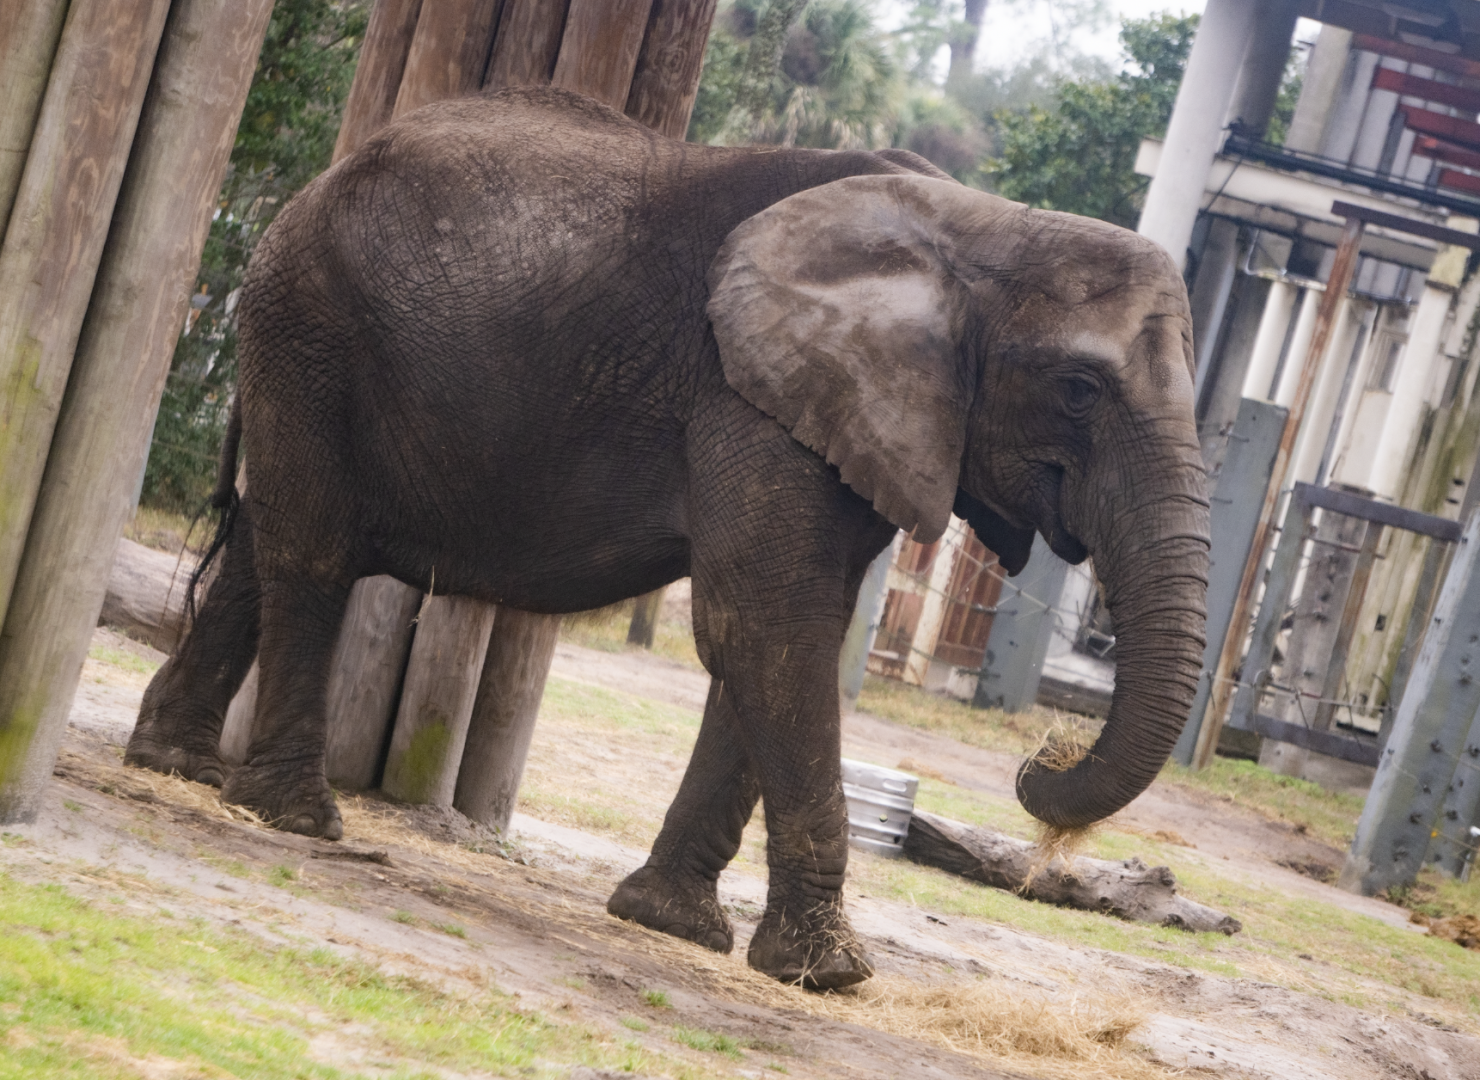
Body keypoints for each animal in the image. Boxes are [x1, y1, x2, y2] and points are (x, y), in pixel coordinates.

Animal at [126, 87, 1209, 989]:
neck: (988, 226)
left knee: (270, 541)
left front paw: (670, 924)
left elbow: (782, 638)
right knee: (310, 550)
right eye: (1080, 389)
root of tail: (308, 190)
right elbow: (770, 629)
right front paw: (832, 975)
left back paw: (176, 766)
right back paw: (295, 817)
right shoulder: (750, 391)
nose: (1040, 761)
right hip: (311, 324)